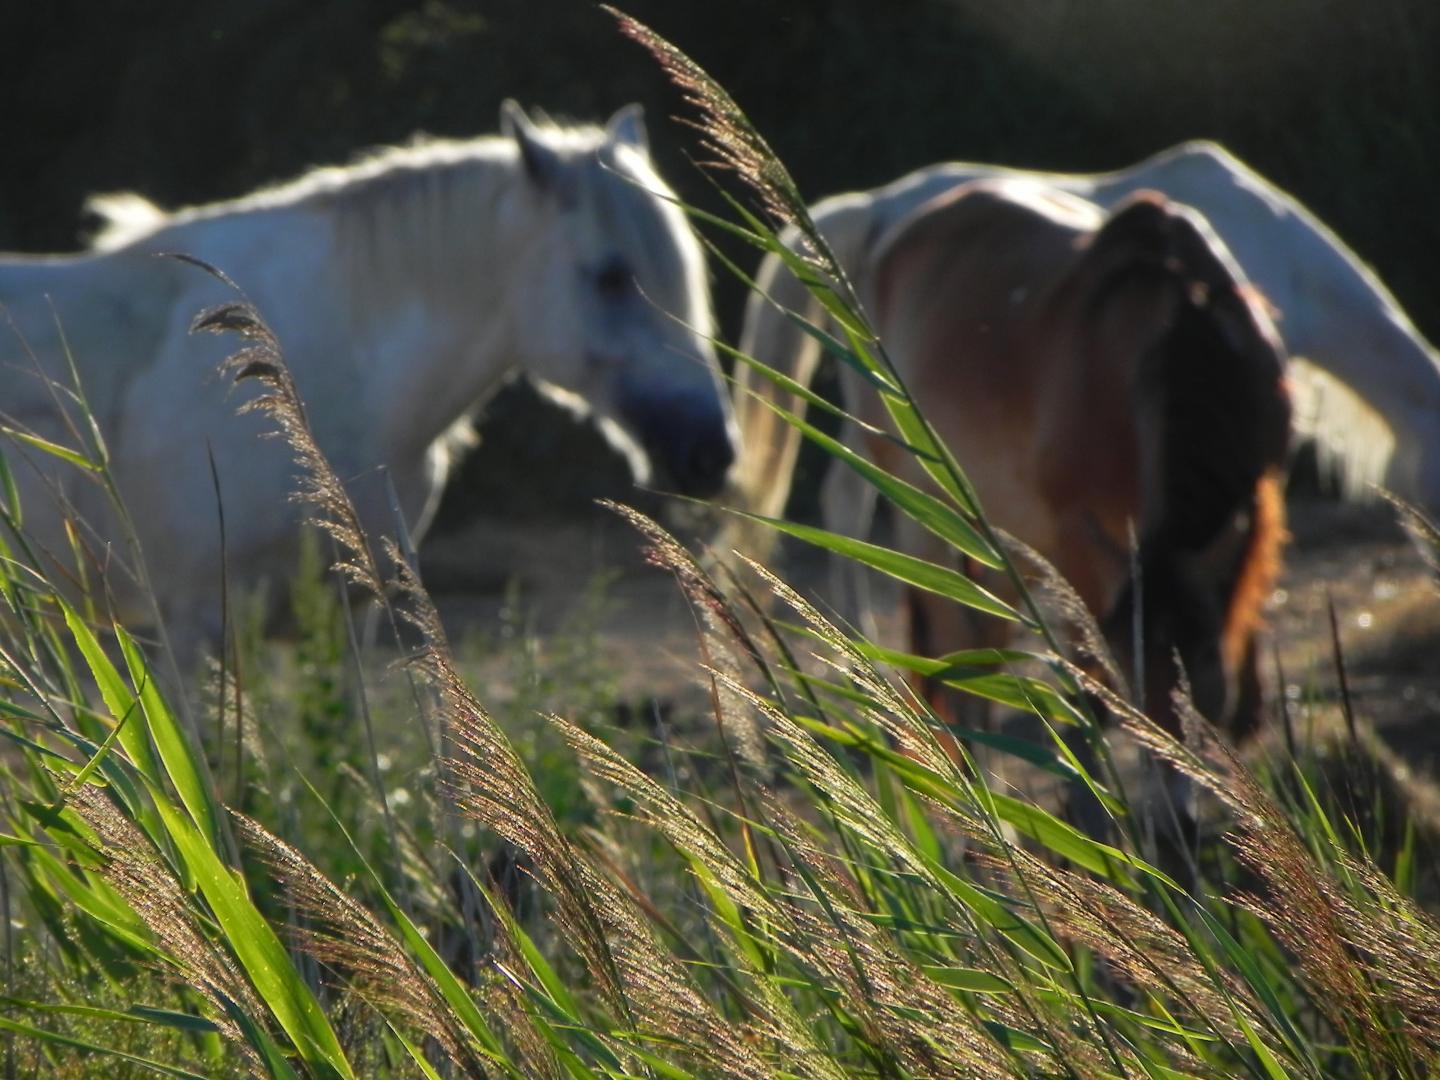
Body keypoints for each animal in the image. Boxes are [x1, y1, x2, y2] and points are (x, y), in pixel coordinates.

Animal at [737, 182, 1290, 743]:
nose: (1173, 756)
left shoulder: (1261, 493)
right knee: (954, 650)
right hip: (931, 513)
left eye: (1204, 679)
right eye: (1133, 682)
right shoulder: (1077, 538)